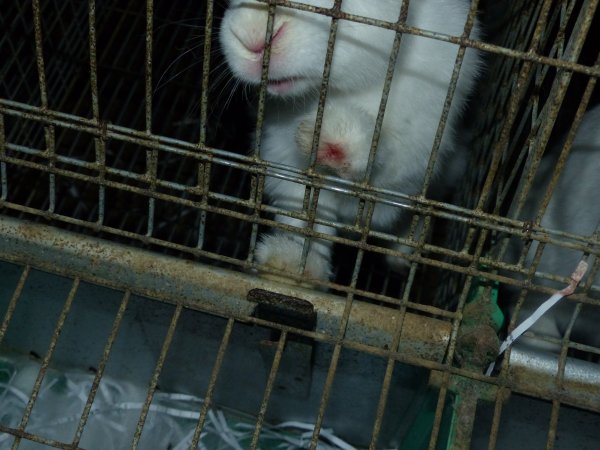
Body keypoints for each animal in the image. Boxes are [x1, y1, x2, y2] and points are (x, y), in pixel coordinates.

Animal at [218, 0, 480, 282]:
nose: (252, 37)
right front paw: (292, 264)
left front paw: (335, 139)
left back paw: (406, 253)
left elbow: (383, 158)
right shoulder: (286, 165)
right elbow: (308, 220)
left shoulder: (414, 155)